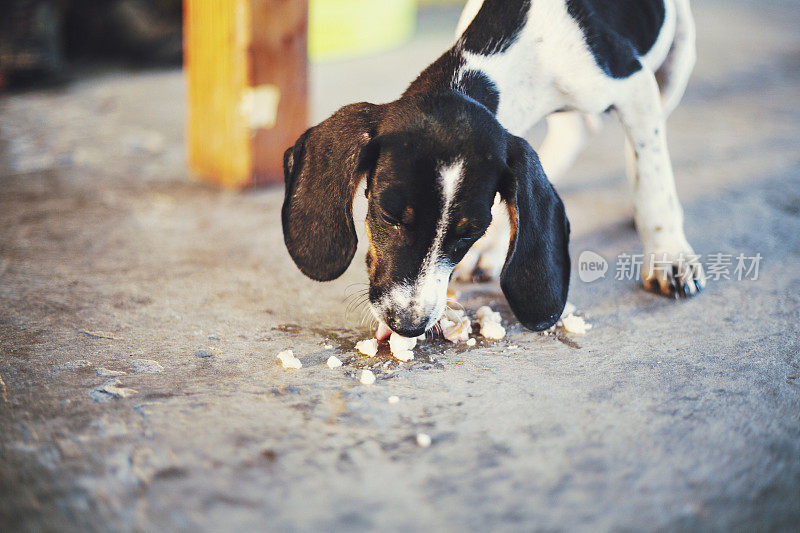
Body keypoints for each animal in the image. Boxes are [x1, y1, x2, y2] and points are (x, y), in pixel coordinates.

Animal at [282, 0, 708, 334]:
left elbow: (652, 179)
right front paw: (496, 241)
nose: (409, 325)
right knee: (578, 130)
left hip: (676, 59)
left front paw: (668, 255)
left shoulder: (633, 85)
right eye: (388, 216)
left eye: (468, 233)